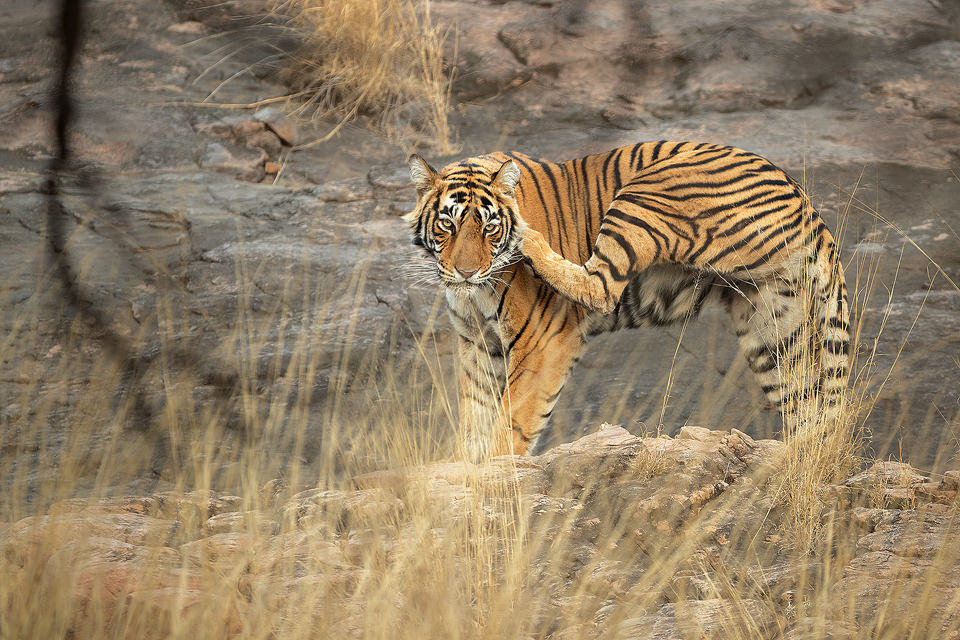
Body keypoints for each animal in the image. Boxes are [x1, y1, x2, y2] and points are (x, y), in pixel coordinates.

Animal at [404, 142, 848, 458]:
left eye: (490, 227)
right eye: (447, 225)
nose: (465, 273)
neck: (475, 292)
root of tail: (810, 208)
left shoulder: (540, 342)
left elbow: (510, 422)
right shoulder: (478, 343)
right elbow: (475, 419)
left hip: (648, 191)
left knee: (600, 287)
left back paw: (529, 240)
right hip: (774, 329)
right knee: (810, 411)